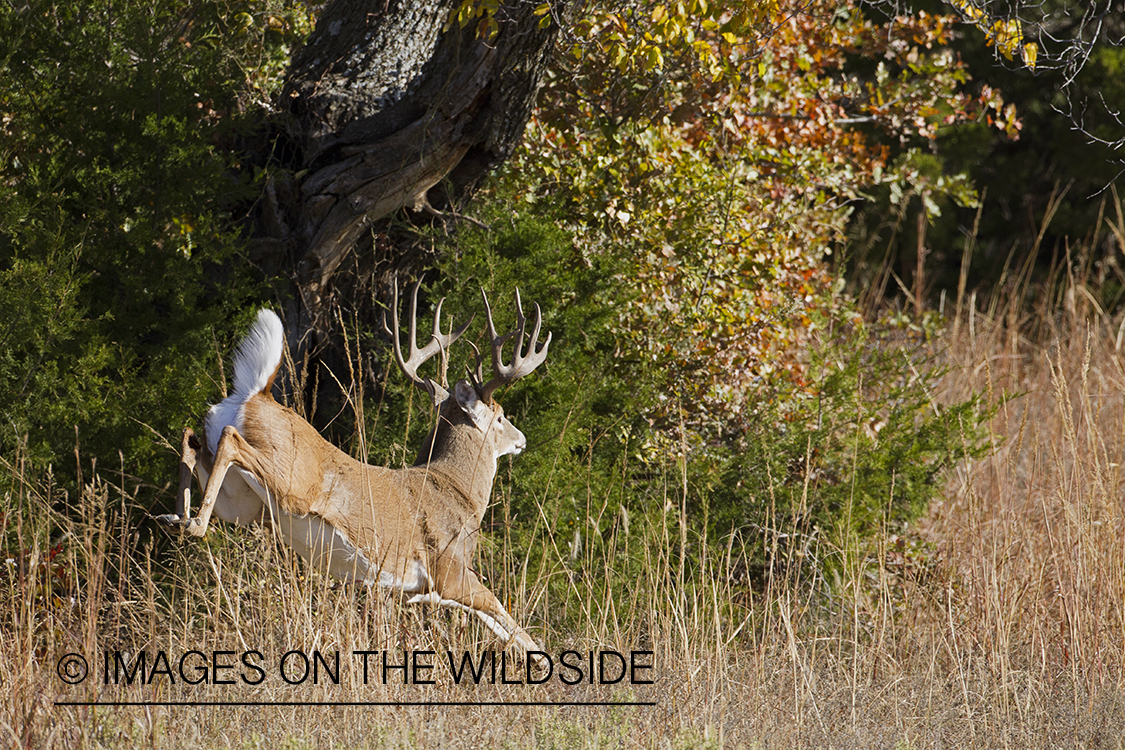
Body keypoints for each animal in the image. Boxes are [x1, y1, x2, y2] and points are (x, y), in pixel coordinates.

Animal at [156, 281, 551, 656]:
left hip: (242, 504)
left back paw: (177, 518)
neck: (458, 491)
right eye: (500, 416)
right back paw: (193, 523)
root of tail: (256, 394)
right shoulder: (450, 570)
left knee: (191, 438)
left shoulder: (391, 588)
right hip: (291, 485)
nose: (521, 439)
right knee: (230, 438)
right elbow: (521, 632)